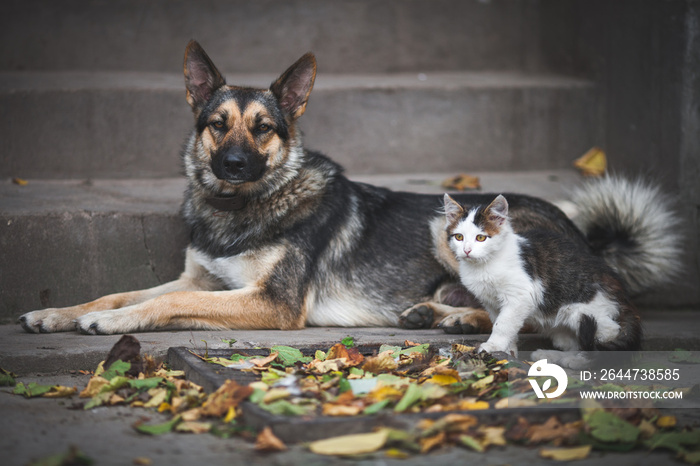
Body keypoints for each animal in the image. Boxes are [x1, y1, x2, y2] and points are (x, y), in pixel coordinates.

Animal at [20, 41, 680, 334]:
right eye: (217, 124)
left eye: (264, 129)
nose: (232, 164)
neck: (243, 208)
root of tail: (585, 239)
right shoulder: (201, 281)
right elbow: (116, 293)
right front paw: (58, 313)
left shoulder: (273, 304)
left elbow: (158, 305)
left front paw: (115, 325)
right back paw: (440, 315)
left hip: (449, 230)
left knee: (539, 312)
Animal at [446, 193, 644, 368]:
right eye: (459, 237)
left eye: (481, 237)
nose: (467, 250)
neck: (484, 264)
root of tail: (623, 296)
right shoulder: (492, 303)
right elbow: (502, 323)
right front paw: (508, 353)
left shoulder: (521, 296)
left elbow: (503, 324)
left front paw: (493, 346)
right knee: (574, 343)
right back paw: (553, 356)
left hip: (582, 311)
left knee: (607, 335)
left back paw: (578, 361)